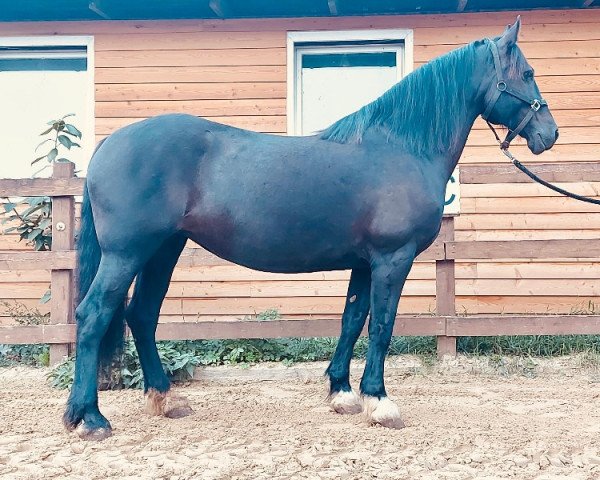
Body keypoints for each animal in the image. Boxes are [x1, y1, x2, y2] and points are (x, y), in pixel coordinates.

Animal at [65, 18, 556, 438]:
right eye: (528, 72)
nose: (549, 134)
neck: (402, 148)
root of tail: (109, 144)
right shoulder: (392, 259)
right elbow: (382, 325)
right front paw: (380, 401)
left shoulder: (365, 262)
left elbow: (352, 319)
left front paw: (343, 393)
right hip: (127, 253)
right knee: (94, 315)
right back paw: (90, 417)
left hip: (163, 250)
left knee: (141, 315)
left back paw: (165, 400)